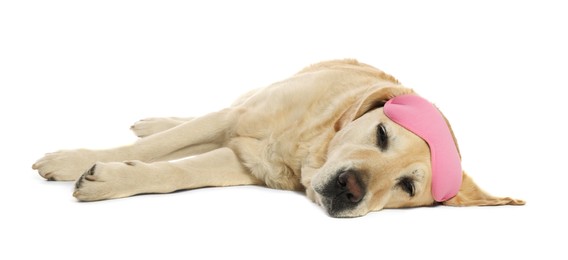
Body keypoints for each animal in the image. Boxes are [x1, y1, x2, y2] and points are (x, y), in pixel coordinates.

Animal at [33, 59, 524, 217]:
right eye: (382, 133)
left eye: (406, 186)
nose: (350, 188)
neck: (307, 145)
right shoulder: (238, 118)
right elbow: (150, 150)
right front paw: (69, 161)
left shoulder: (240, 162)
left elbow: (176, 172)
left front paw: (112, 178)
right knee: (187, 123)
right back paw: (154, 122)